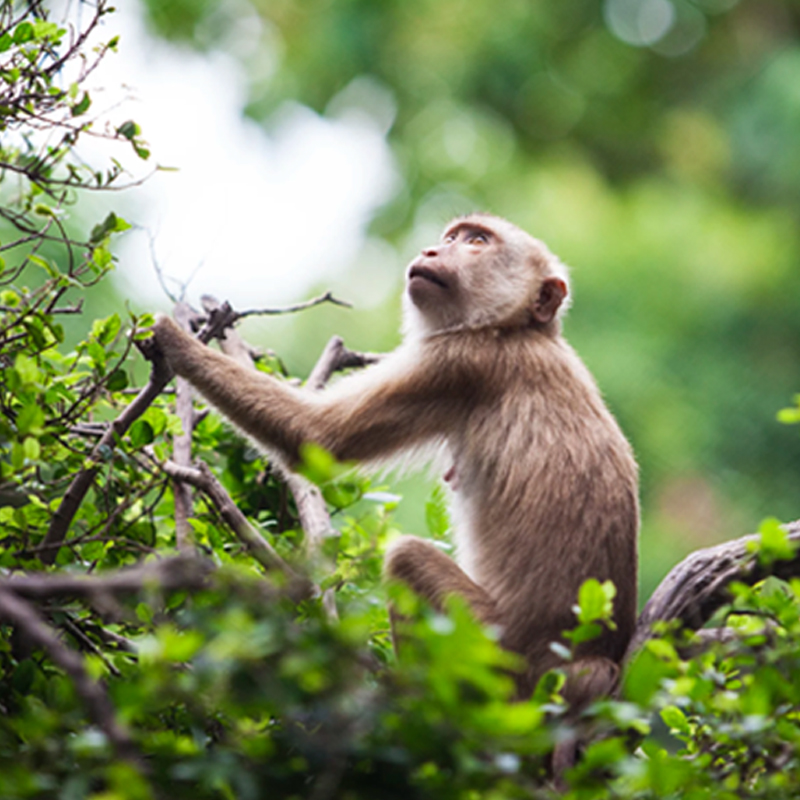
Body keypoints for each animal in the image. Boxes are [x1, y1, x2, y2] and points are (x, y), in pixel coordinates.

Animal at [148, 211, 636, 708]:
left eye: (477, 241)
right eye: (452, 237)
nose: (432, 250)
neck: (521, 329)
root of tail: (577, 667)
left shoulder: (459, 360)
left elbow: (317, 437)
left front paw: (174, 338)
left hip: (493, 657)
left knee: (405, 558)